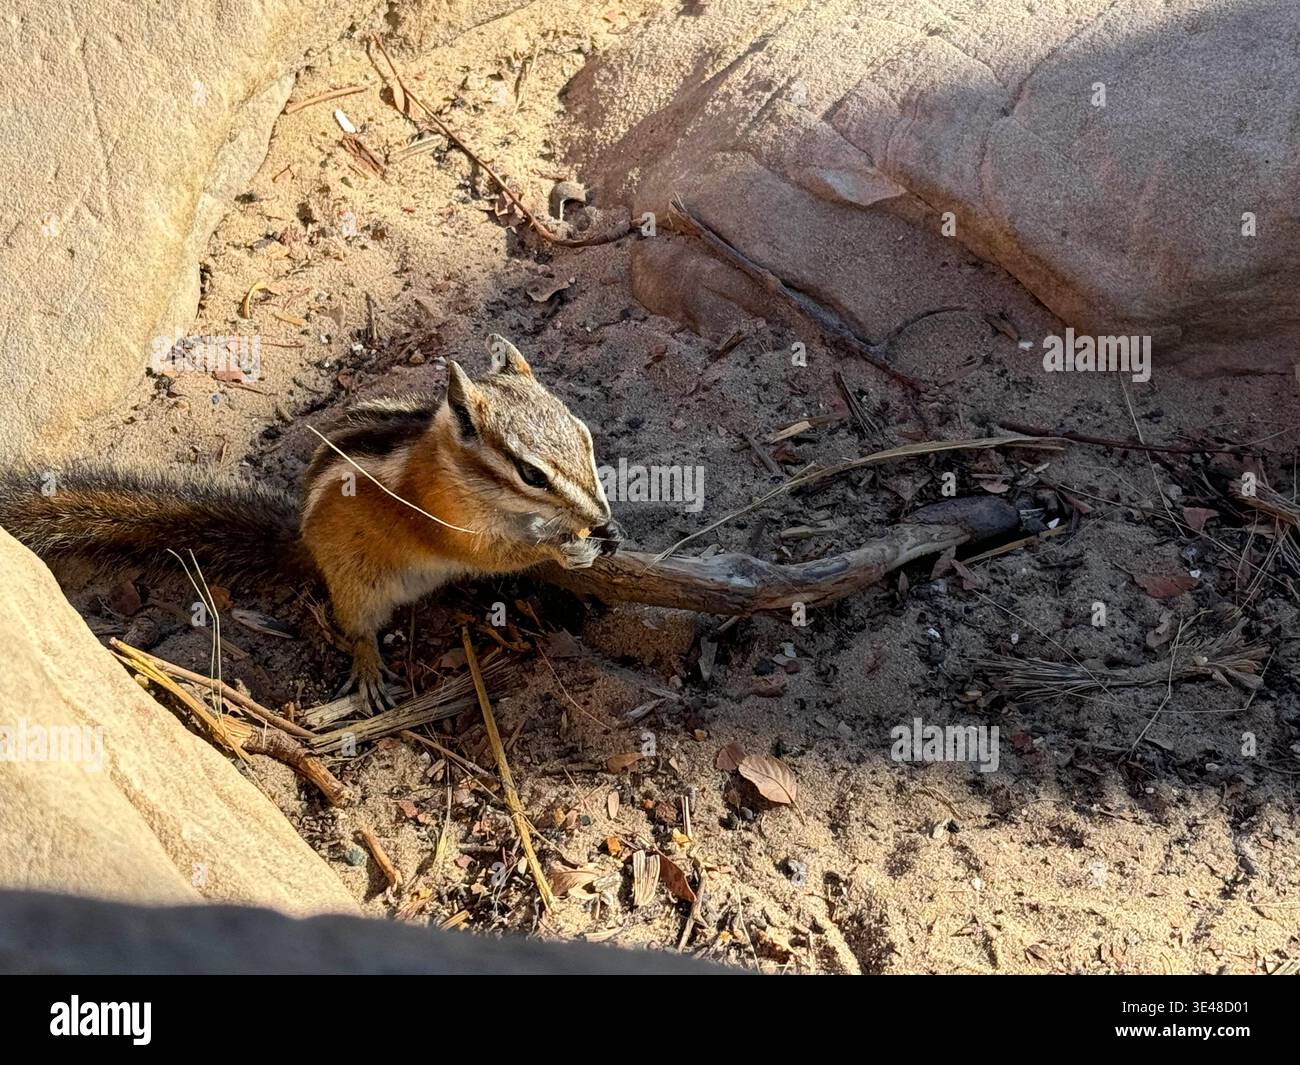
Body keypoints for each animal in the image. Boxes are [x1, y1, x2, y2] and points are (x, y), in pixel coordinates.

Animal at [0, 335, 622, 711]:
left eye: (584, 434)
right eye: (531, 473)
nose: (600, 514)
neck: (455, 466)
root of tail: (302, 540)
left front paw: (603, 535)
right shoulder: (449, 521)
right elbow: (490, 554)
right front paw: (563, 547)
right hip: (359, 584)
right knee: (357, 627)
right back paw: (368, 669)